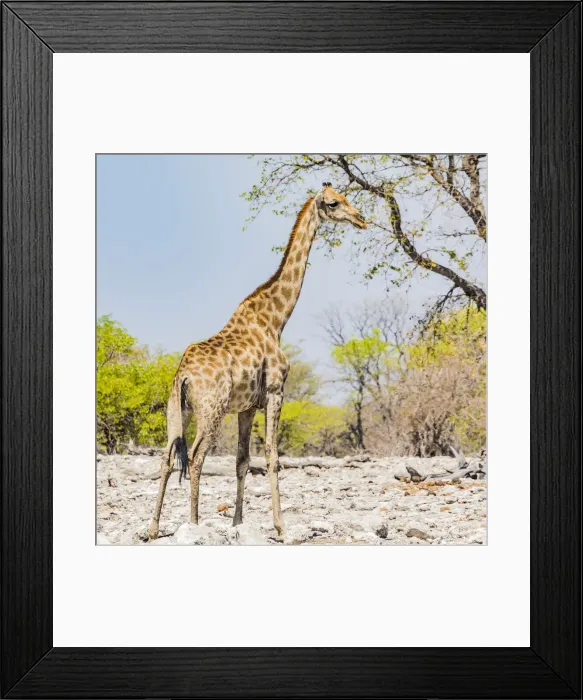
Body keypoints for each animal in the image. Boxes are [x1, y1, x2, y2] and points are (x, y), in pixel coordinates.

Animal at [148, 184, 366, 540]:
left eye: (347, 198)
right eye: (334, 203)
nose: (361, 219)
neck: (276, 319)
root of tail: (183, 376)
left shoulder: (247, 406)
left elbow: (241, 460)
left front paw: (238, 523)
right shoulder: (277, 391)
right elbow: (272, 456)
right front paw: (280, 526)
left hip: (176, 409)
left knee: (167, 457)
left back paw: (153, 528)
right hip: (211, 410)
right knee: (194, 457)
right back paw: (194, 524)